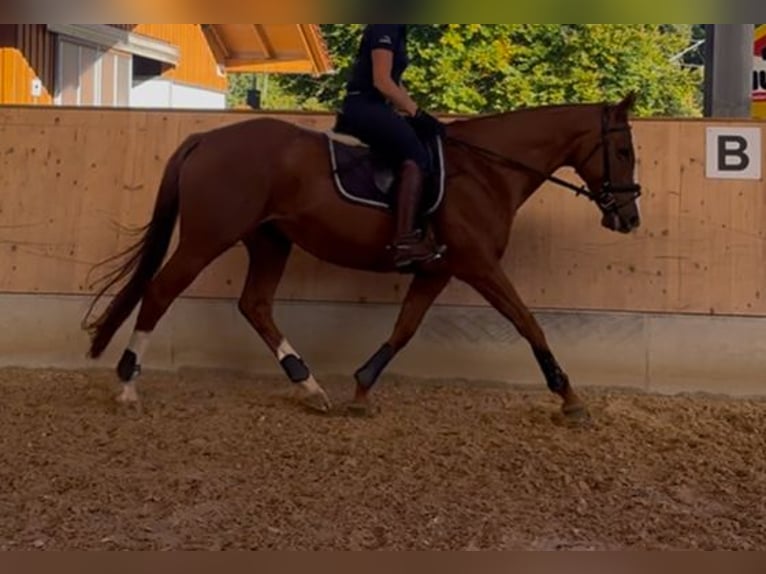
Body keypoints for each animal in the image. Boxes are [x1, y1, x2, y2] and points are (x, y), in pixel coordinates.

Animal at [82, 92, 641, 420]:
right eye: (625, 151)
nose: (629, 218)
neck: (486, 170)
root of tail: (203, 138)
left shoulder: (438, 270)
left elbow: (405, 328)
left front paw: (361, 388)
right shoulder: (479, 265)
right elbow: (528, 322)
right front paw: (568, 395)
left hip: (270, 241)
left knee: (255, 306)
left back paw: (311, 388)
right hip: (209, 237)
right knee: (160, 291)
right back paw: (128, 387)